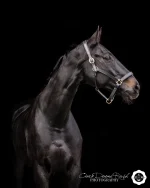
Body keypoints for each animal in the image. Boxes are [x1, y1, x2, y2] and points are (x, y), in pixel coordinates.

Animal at [11, 26, 139, 188]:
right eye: (107, 57)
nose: (136, 86)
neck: (56, 122)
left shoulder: (74, 171)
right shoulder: (40, 171)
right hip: (19, 164)